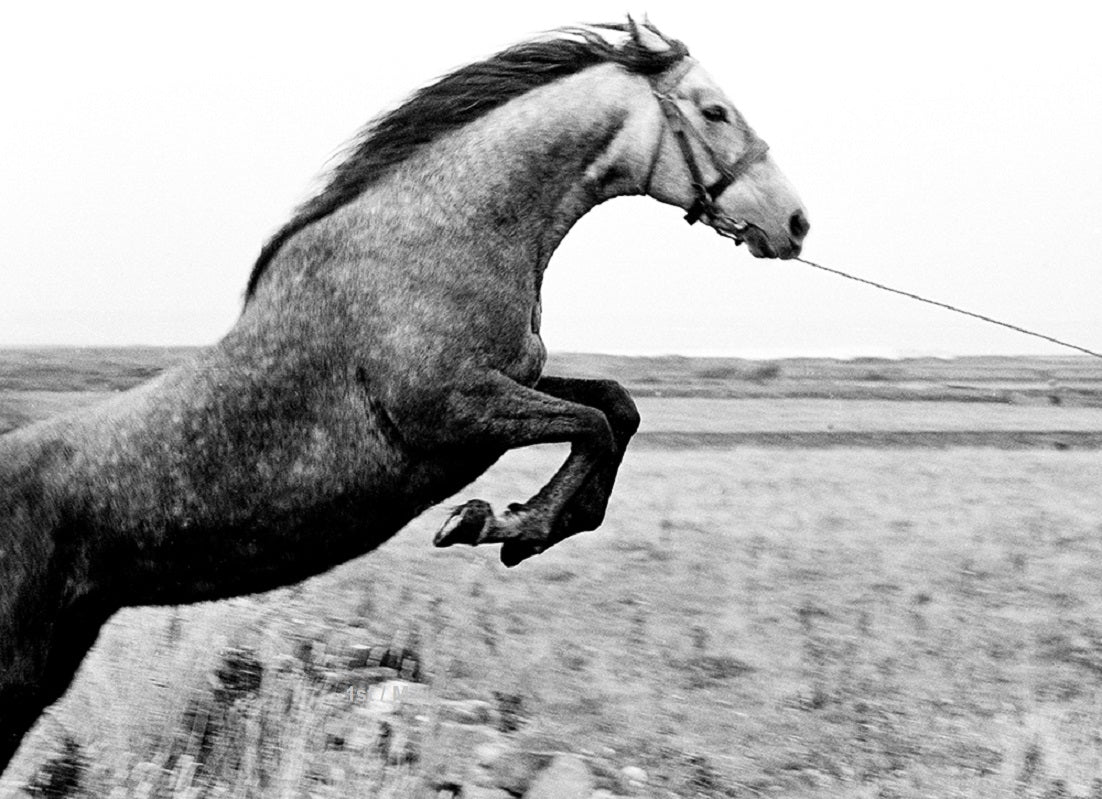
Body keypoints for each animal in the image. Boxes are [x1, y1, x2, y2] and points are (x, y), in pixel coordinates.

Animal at [0, 19, 808, 772]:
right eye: (714, 111)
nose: (795, 223)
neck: (438, 237)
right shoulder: (453, 411)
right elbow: (594, 425)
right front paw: (500, 526)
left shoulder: (512, 381)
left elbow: (617, 406)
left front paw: (518, 524)